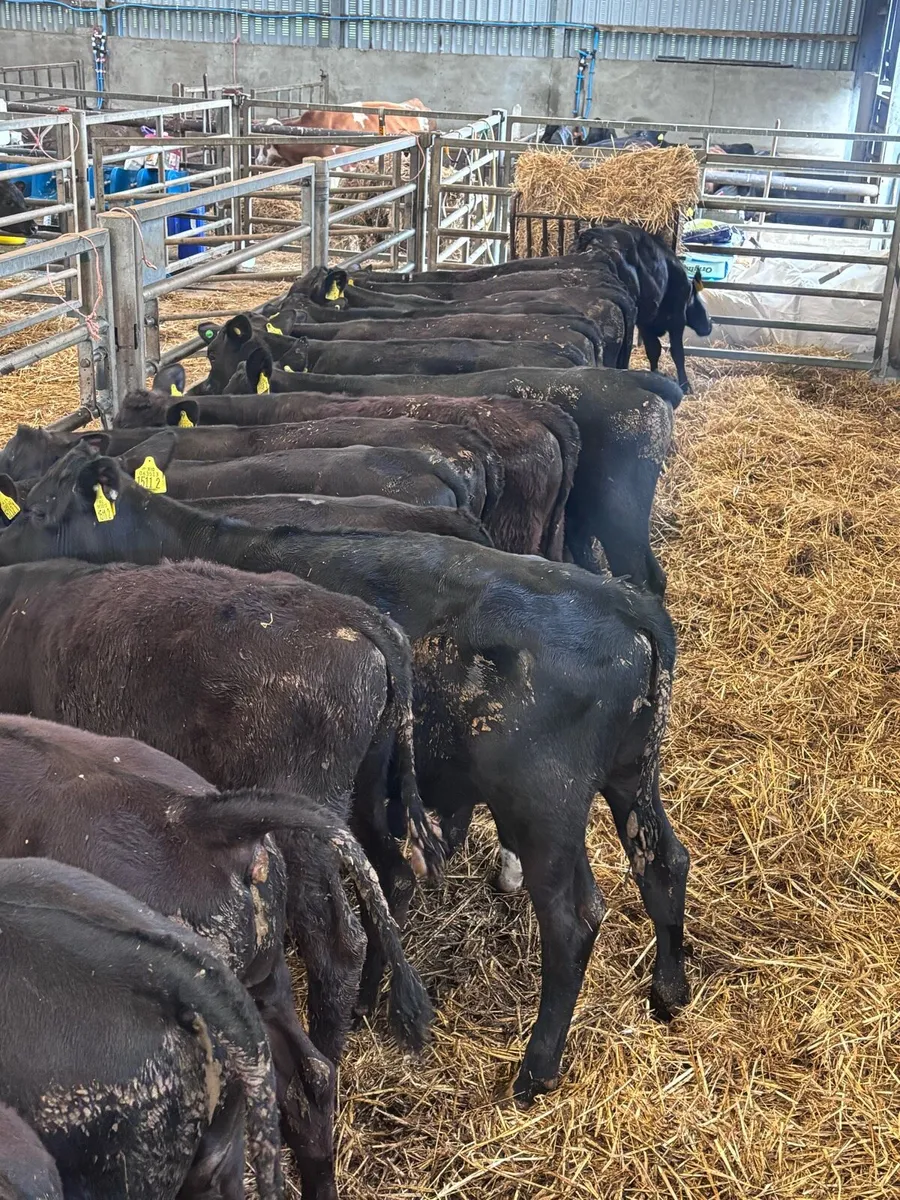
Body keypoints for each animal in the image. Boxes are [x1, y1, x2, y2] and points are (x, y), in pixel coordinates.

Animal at [0, 554, 436, 1070]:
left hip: (303, 823)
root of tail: (355, 615)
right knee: (393, 873)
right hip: (366, 789)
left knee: (337, 944)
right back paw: (367, 1002)